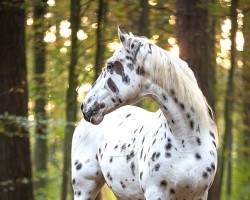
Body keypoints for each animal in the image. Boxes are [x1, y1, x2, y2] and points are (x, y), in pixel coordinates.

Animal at [71, 27, 218, 200]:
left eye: (111, 65)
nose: (85, 106)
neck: (186, 142)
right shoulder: (156, 192)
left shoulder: (200, 194)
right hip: (84, 188)